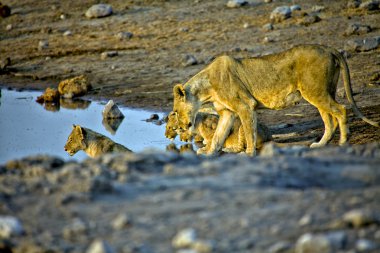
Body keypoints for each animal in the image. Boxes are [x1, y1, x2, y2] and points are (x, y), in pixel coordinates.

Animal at [173, 45, 380, 156]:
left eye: (175, 112)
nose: (181, 127)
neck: (206, 89)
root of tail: (327, 48)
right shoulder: (227, 112)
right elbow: (218, 136)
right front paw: (210, 153)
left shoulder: (245, 106)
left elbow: (248, 132)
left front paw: (249, 153)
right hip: (322, 92)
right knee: (330, 121)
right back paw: (320, 144)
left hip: (315, 91)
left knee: (341, 111)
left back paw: (343, 141)